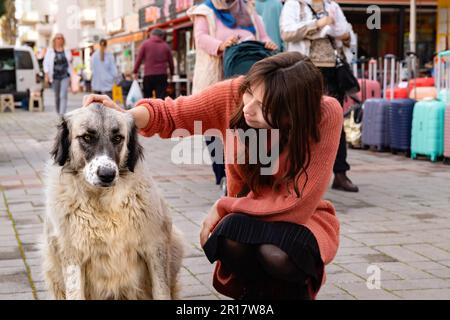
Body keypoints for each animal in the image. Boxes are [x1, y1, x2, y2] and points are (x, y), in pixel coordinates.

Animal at [41, 104, 184, 298]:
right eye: (87, 137)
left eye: (117, 138)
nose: (107, 175)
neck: (102, 203)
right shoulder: (71, 255)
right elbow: (75, 291)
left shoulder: (155, 246)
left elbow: (161, 290)